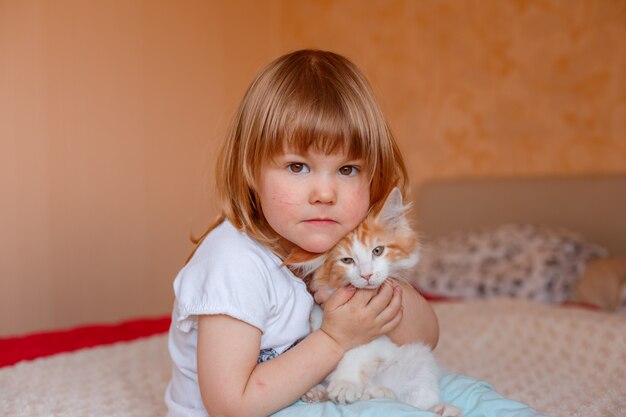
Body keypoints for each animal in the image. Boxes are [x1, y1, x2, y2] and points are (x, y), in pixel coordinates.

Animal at [284, 189, 458, 416]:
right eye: (347, 260)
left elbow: (355, 353)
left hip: (420, 358)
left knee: (411, 402)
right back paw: (317, 392)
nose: (366, 275)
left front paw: (345, 383)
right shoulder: (317, 316)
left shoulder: (378, 334)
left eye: (377, 251)